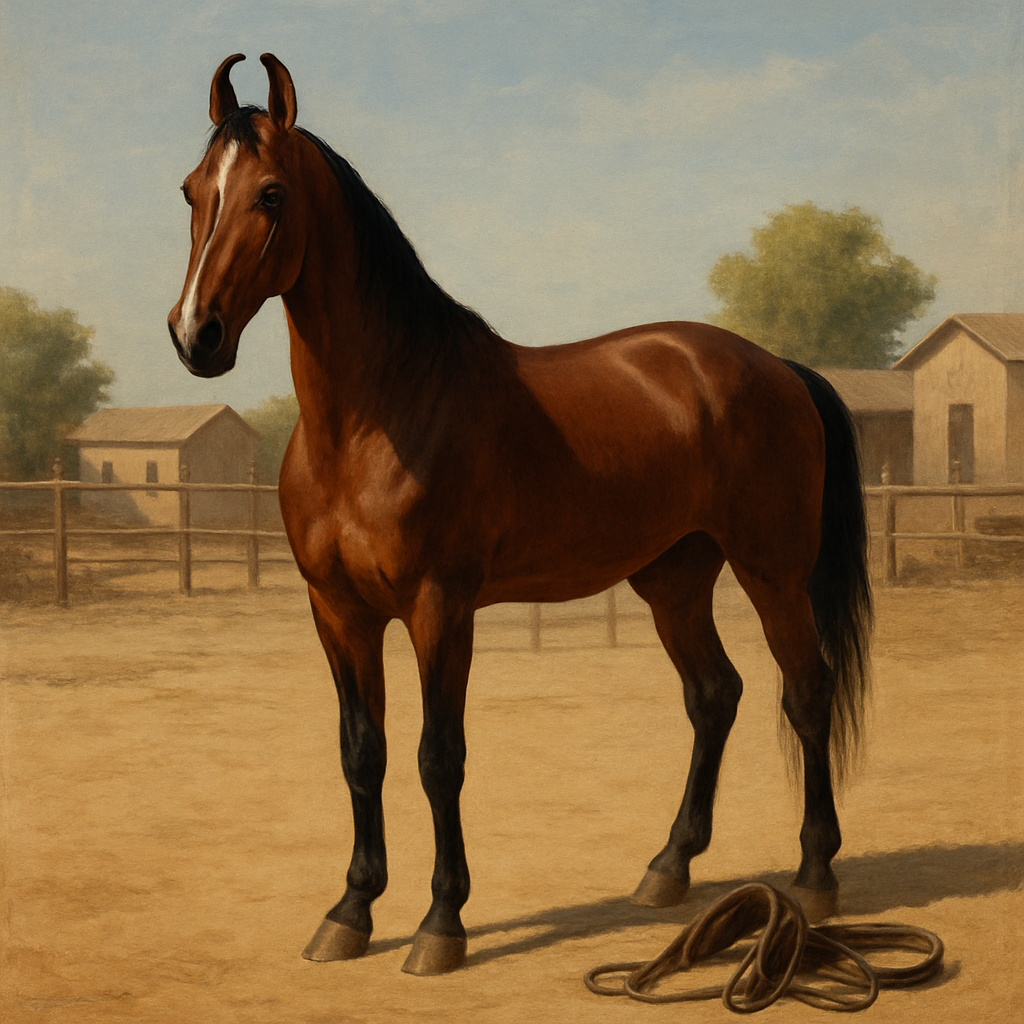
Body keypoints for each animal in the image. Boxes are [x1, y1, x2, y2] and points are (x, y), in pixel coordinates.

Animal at [168, 53, 872, 976]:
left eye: (272, 195)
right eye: (190, 192)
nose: (196, 336)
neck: (378, 413)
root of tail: (779, 367)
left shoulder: (440, 607)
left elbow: (439, 757)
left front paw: (441, 925)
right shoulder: (339, 612)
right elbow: (363, 753)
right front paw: (350, 912)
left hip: (772, 572)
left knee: (806, 692)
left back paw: (817, 875)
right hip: (675, 579)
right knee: (714, 694)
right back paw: (667, 868)